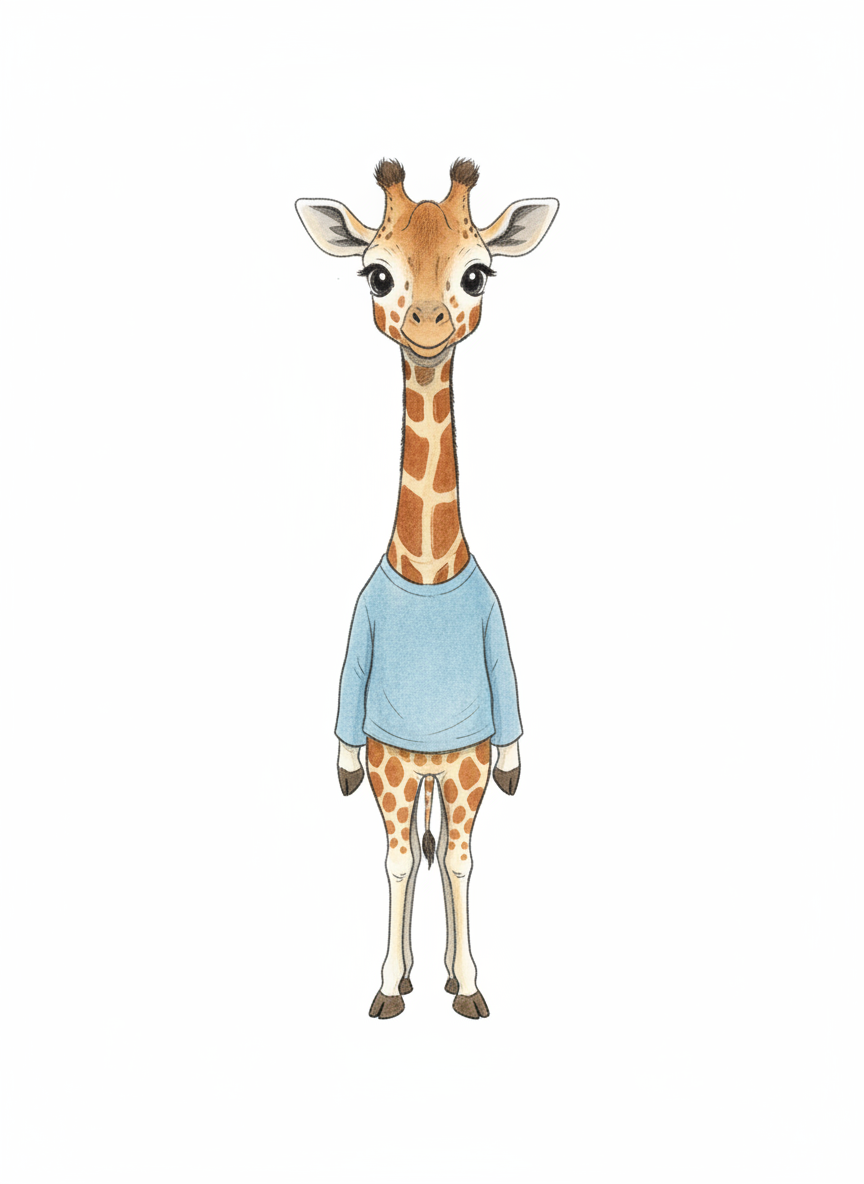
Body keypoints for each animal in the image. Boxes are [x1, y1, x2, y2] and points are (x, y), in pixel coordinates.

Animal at [296, 160, 558, 1019]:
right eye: (376, 274)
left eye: (477, 273)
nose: (428, 323)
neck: (429, 572)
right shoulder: (386, 757)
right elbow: (399, 859)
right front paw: (387, 987)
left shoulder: (474, 753)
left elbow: (462, 860)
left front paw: (469, 986)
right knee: (417, 845)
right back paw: (413, 970)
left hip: (451, 767)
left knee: (445, 847)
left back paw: (441, 970)